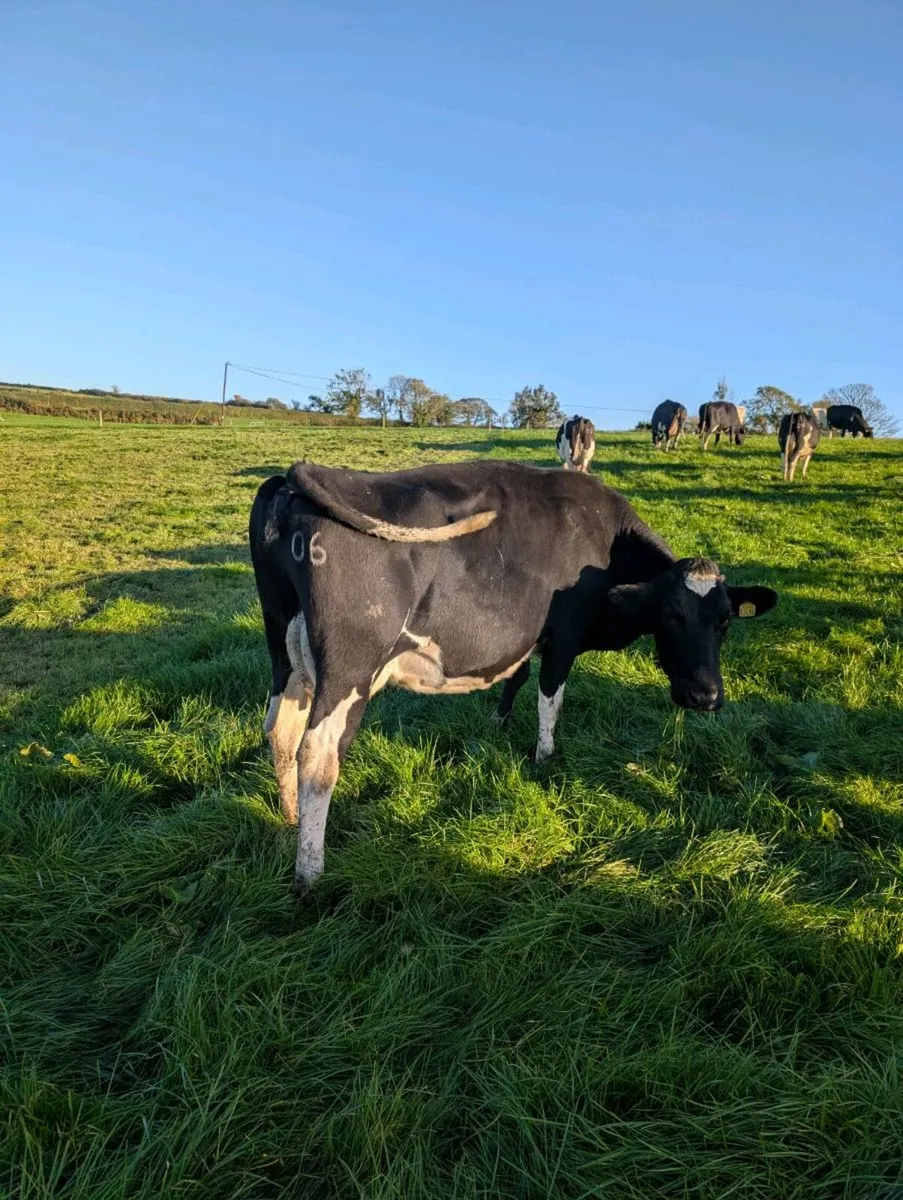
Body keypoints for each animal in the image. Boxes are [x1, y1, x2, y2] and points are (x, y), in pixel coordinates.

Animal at [249, 459, 778, 893]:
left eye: (725, 620)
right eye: (672, 614)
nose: (705, 696)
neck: (605, 539)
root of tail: (302, 477)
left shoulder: (524, 639)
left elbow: (517, 678)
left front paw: (498, 724)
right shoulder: (564, 635)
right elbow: (551, 697)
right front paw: (544, 759)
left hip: (284, 650)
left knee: (279, 732)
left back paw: (287, 818)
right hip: (349, 669)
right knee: (318, 756)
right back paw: (310, 873)